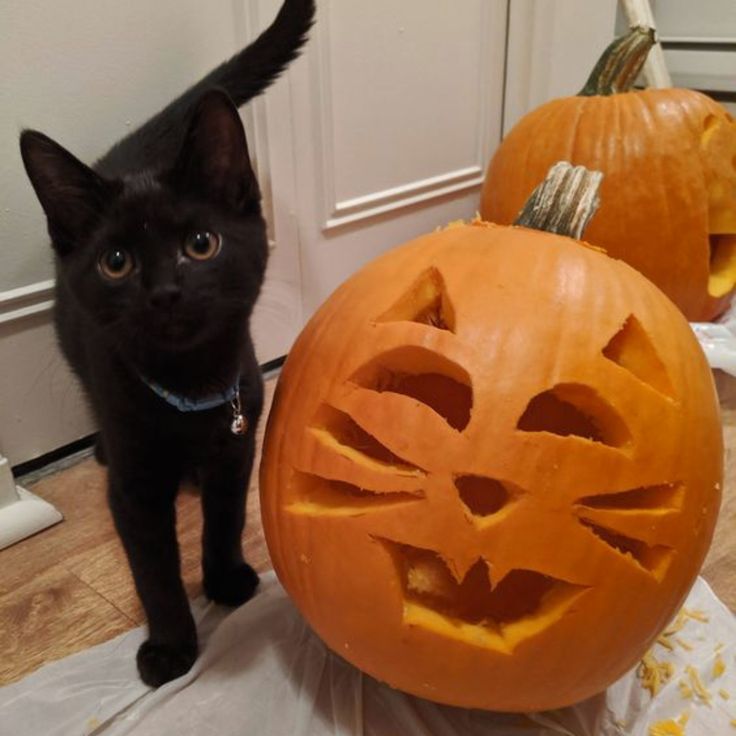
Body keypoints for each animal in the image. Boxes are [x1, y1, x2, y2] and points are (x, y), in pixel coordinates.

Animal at [20, 1, 314, 688]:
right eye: (117, 263)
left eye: (201, 244)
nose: (165, 293)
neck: (187, 389)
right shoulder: (134, 487)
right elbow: (152, 567)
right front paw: (172, 646)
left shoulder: (238, 441)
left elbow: (226, 516)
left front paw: (226, 578)